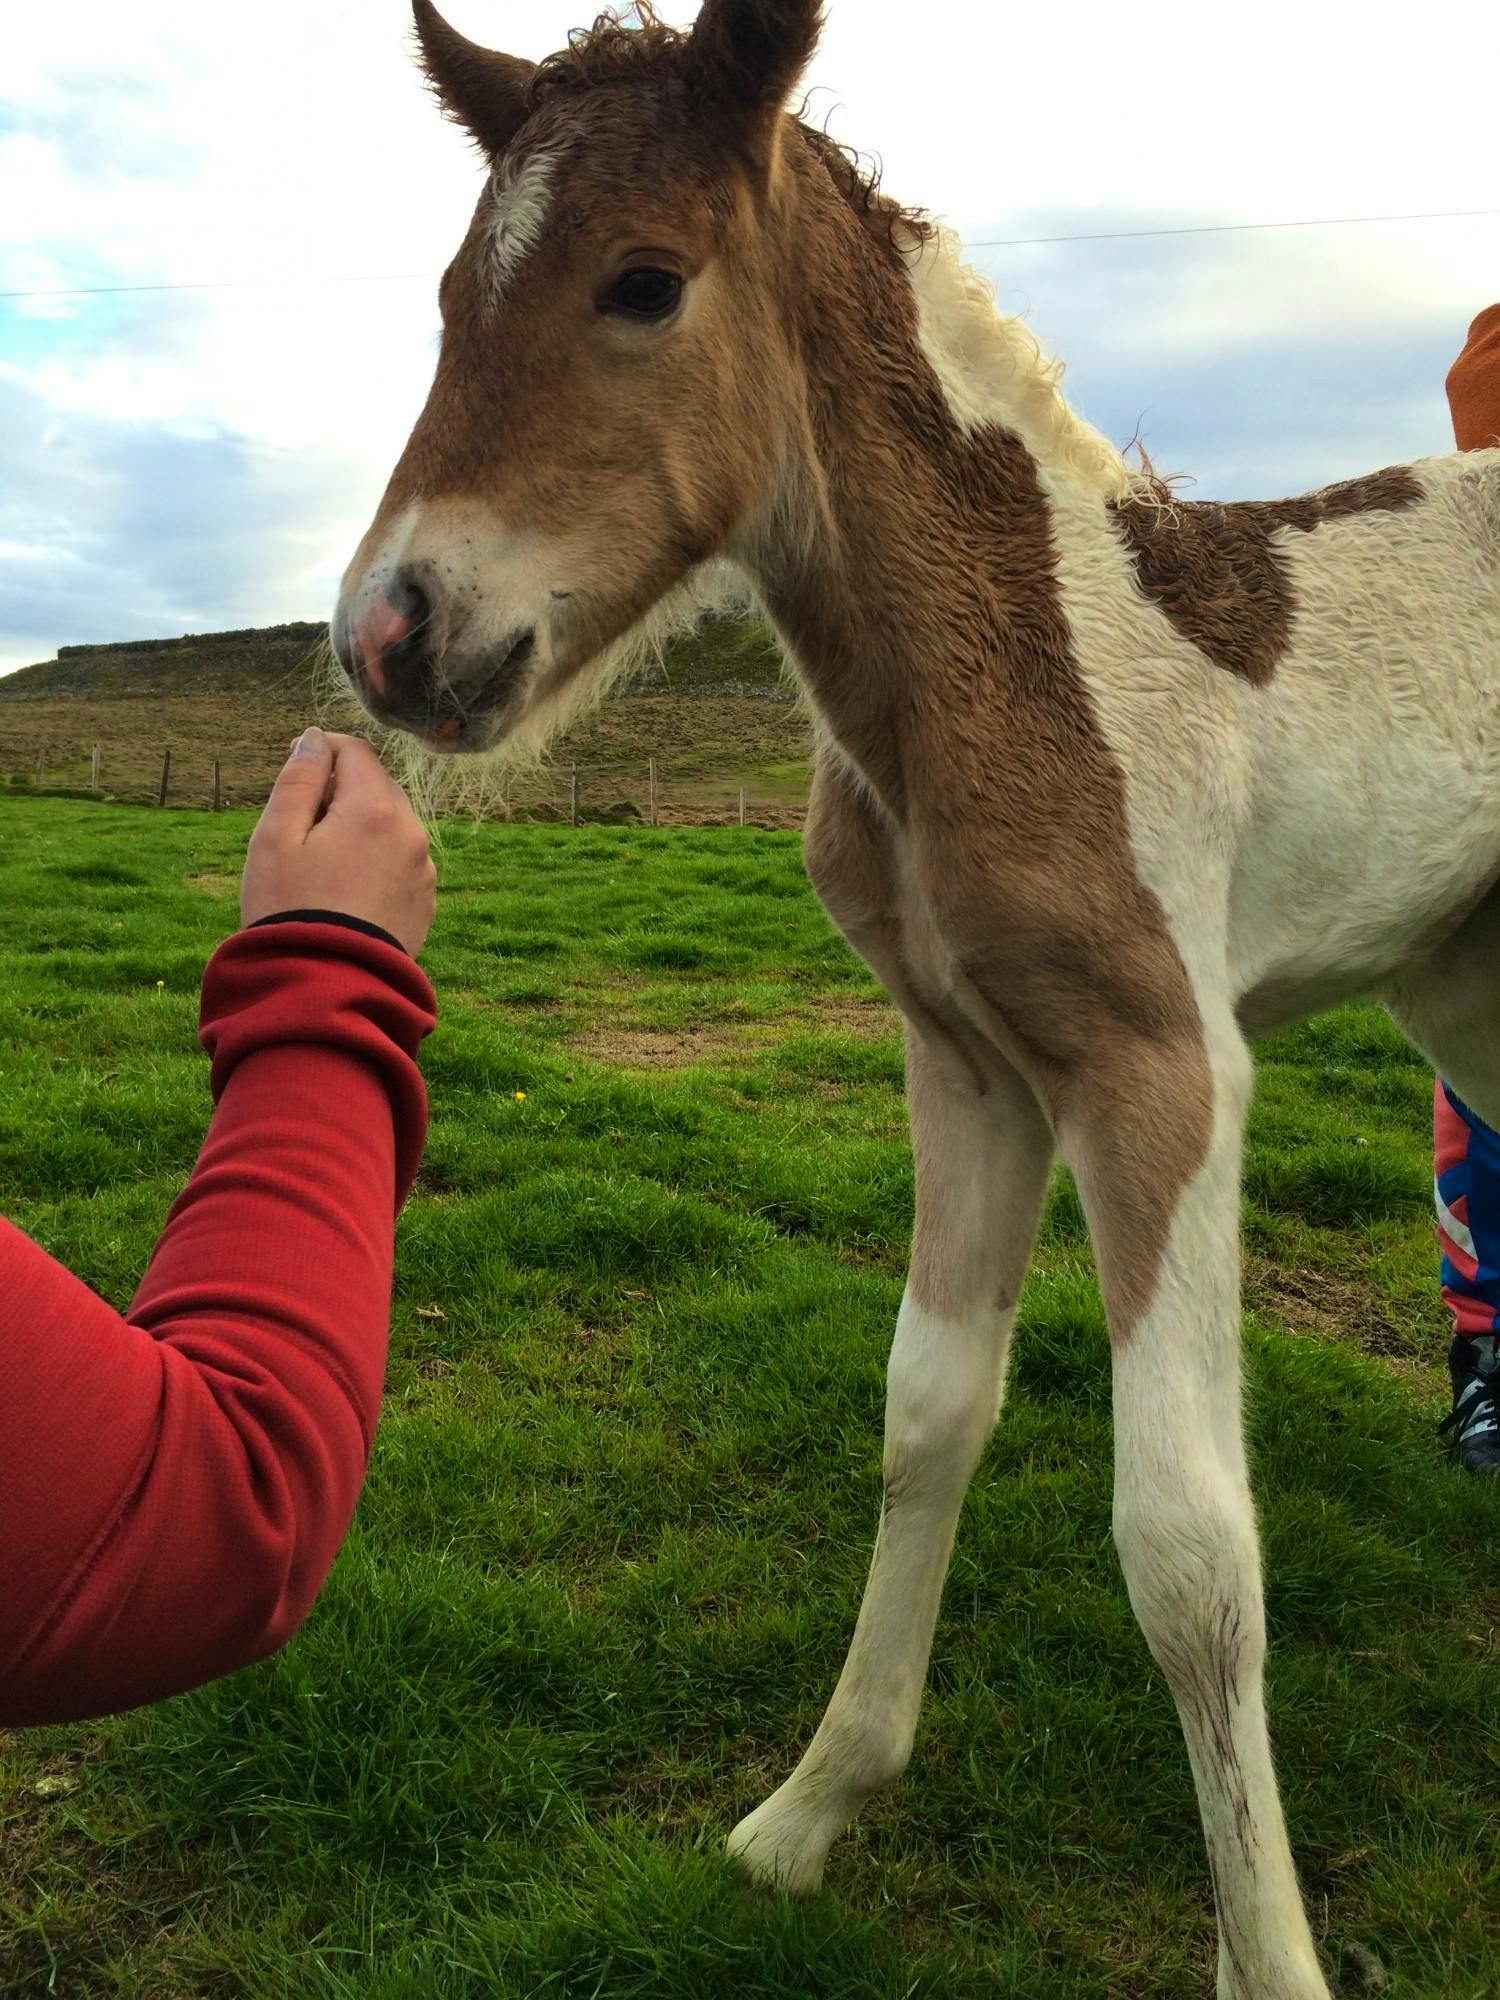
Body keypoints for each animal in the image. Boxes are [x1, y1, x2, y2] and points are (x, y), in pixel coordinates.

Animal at [338, 7, 1500, 1992]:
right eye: (444, 297)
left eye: (643, 282)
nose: (390, 636)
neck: (1024, 665)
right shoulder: (967, 1065)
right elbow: (926, 1410)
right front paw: (816, 1807)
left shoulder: (1164, 1071)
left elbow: (1190, 1548)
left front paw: (1267, 1953)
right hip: (1468, 988)